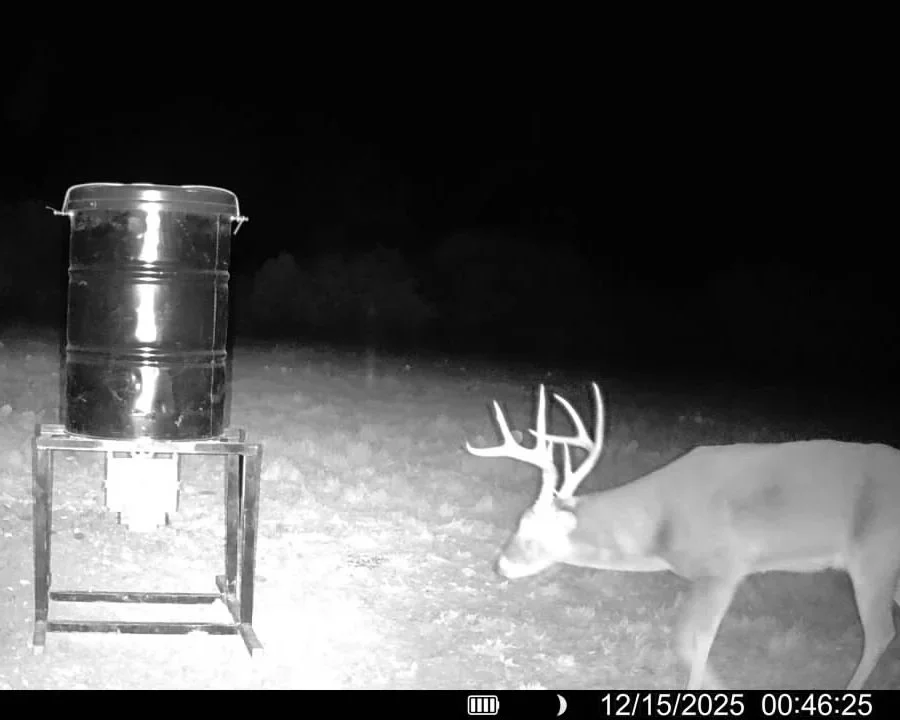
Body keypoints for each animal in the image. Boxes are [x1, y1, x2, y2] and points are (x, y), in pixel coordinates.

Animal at [465, 382, 900, 689]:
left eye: (528, 529)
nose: (501, 565)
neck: (662, 528)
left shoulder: (726, 567)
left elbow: (694, 640)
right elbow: (685, 640)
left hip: (874, 556)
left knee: (880, 633)